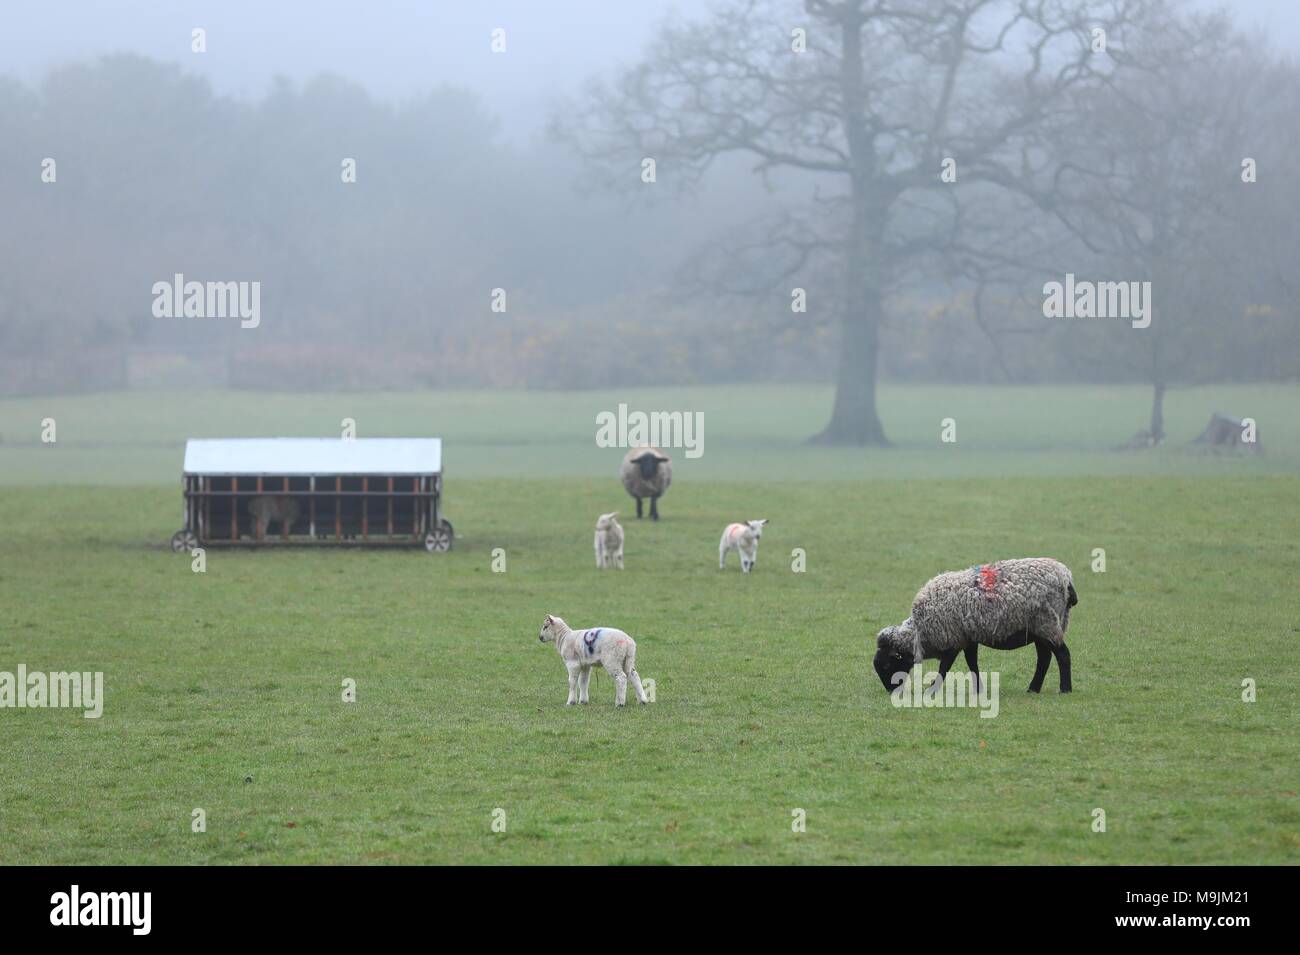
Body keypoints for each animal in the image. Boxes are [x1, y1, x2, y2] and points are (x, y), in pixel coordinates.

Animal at [873, 556, 1076, 696]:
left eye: (886, 664)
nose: (891, 692)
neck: (919, 632)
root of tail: (1066, 577)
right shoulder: (968, 637)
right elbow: (972, 663)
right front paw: (978, 690)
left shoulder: (952, 638)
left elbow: (945, 667)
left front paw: (931, 690)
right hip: (1039, 629)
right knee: (1044, 658)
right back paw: (1033, 689)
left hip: (1046, 623)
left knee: (1062, 655)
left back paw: (1065, 689)